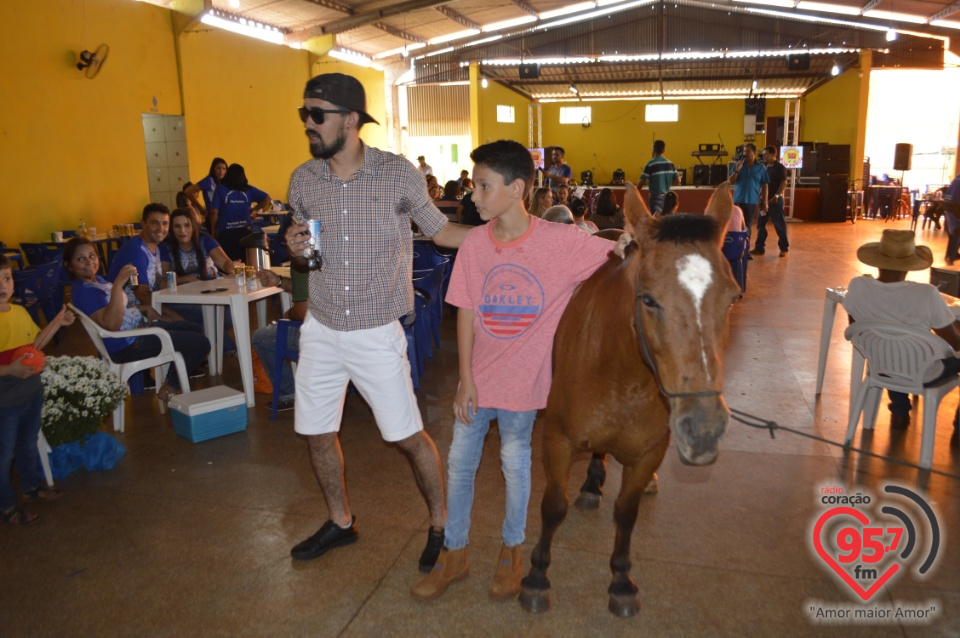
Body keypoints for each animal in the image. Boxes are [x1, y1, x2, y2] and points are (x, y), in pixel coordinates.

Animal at [520, 182, 740, 616]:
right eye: (648, 299)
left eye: (731, 299)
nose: (703, 429)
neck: (623, 374)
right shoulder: (557, 441)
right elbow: (553, 505)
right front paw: (537, 575)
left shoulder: (649, 453)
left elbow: (627, 511)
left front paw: (621, 580)